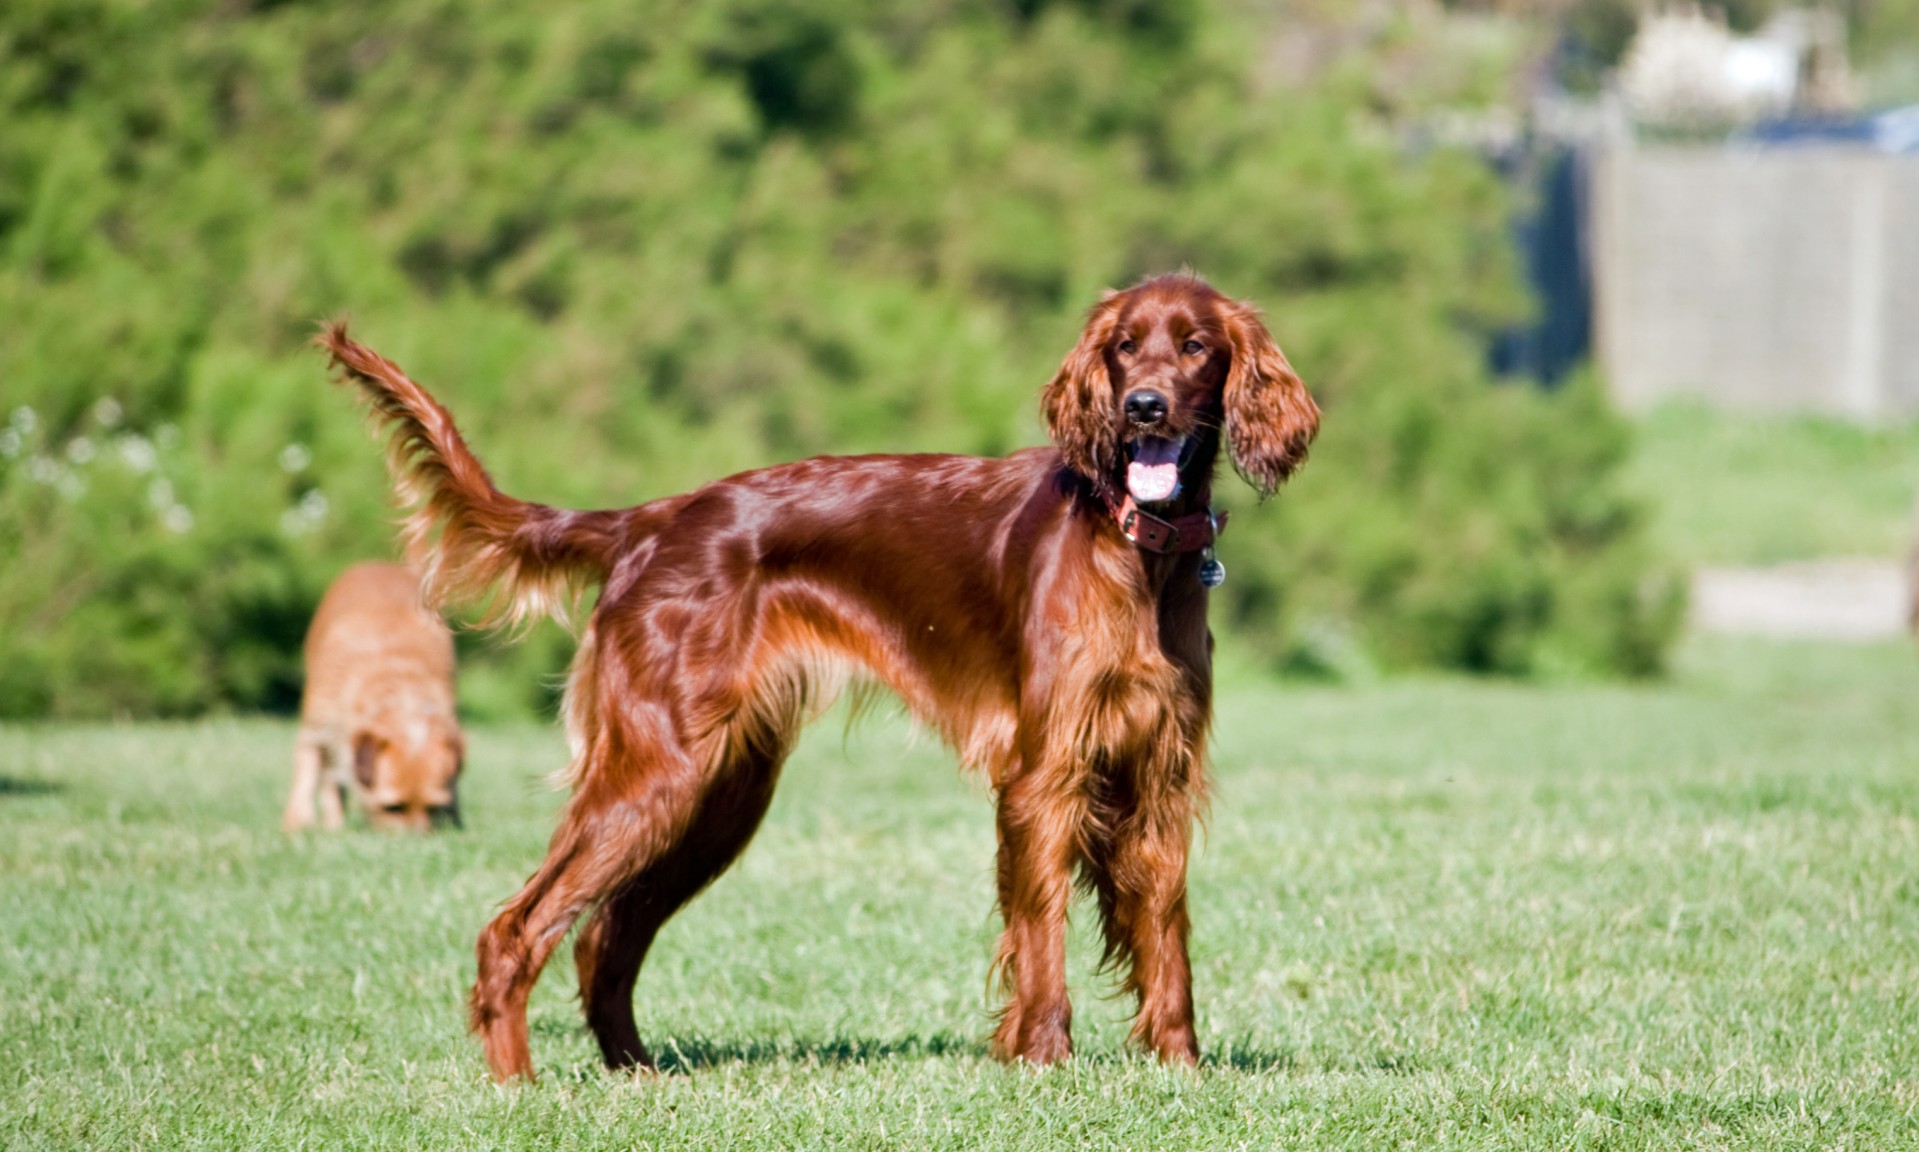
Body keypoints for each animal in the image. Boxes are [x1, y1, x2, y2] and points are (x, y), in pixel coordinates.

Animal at [280, 556, 464, 829]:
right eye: (393, 807)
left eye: (433, 808)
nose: (418, 839)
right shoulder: (316, 728)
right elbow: (308, 773)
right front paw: (298, 825)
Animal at [322, 272, 1312, 1082]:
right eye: (1122, 345)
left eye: (1194, 345)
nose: (1142, 407)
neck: (1135, 547)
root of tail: (649, 520)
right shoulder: (1044, 775)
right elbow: (1041, 936)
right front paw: (1042, 1063)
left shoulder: (1159, 773)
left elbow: (1165, 934)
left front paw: (1180, 1068)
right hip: (658, 770)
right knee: (519, 928)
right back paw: (517, 1084)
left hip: (718, 794)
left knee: (606, 933)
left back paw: (635, 1073)